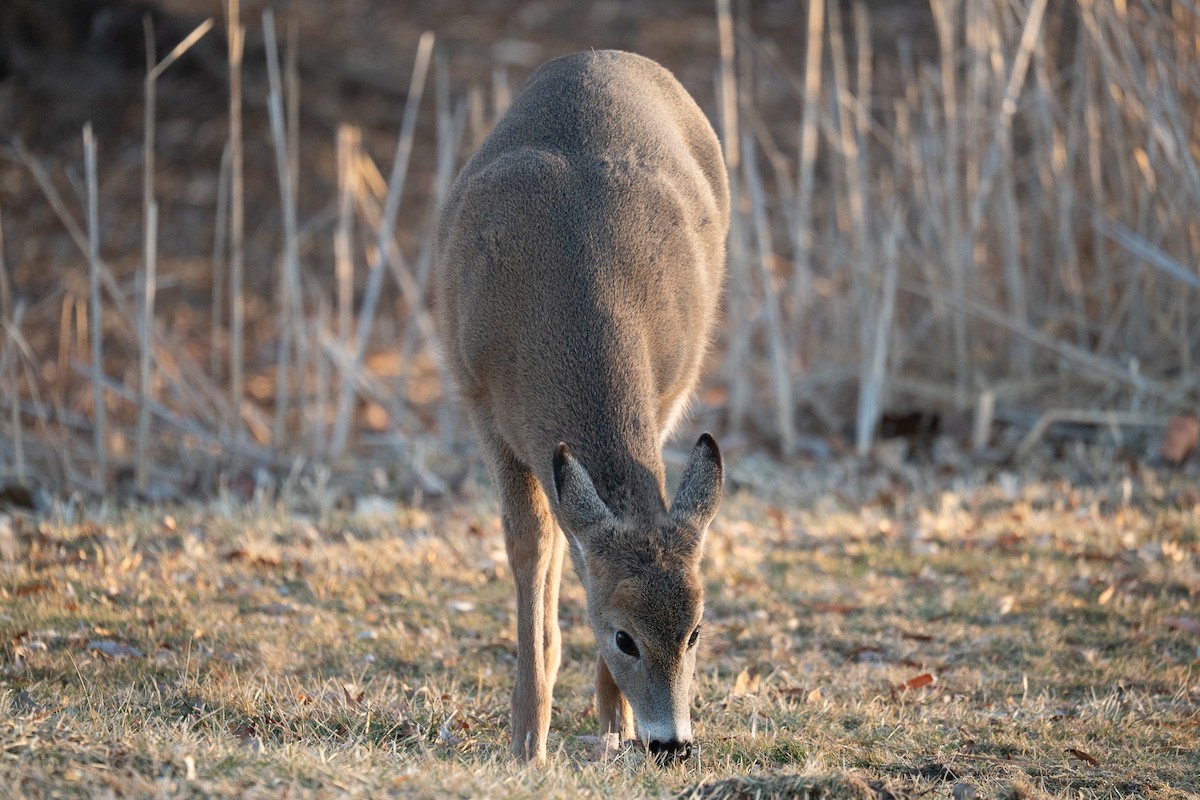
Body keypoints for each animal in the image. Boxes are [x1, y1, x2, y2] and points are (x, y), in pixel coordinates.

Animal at [435, 49, 729, 763]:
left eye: (695, 631)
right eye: (624, 636)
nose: (671, 743)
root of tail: (603, 55)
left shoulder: (666, 390)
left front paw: (612, 720)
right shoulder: (485, 409)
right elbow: (529, 547)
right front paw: (526, 737)